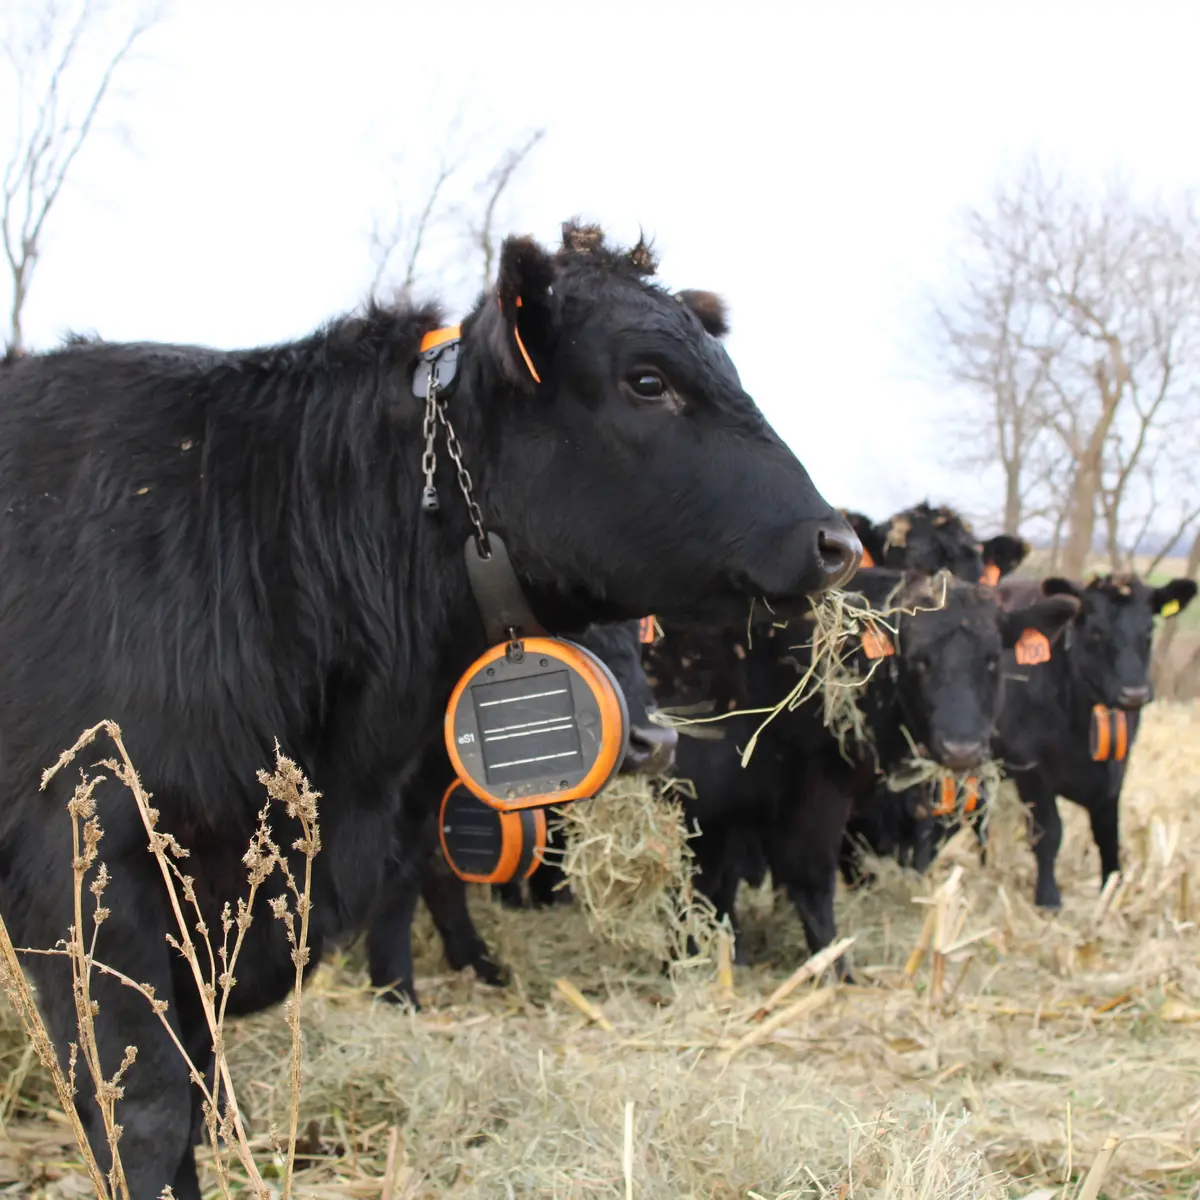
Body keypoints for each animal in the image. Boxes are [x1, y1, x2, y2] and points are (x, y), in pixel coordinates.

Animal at [365, 619, 675, 1006]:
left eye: (638, 630)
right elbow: (399, 882)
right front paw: (396, 989)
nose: (656, 743)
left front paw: (477, 962)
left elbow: (440, 874)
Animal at [653, 570, 1079, 966]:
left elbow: (712, 890)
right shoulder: (810, 798)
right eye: (917, 660)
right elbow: (810, 885)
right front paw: (834, 968)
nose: (962, 748)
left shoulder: (727, 811)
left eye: (991, 659)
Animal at [993, 573, 1197, 909]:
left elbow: (1108, 835)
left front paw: (1112, 893)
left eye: (1148, 630)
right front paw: (1048, 897)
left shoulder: (1115, 772)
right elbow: (1049, 832)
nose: (1134, 693)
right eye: (1096, 632)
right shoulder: (1030, 768)